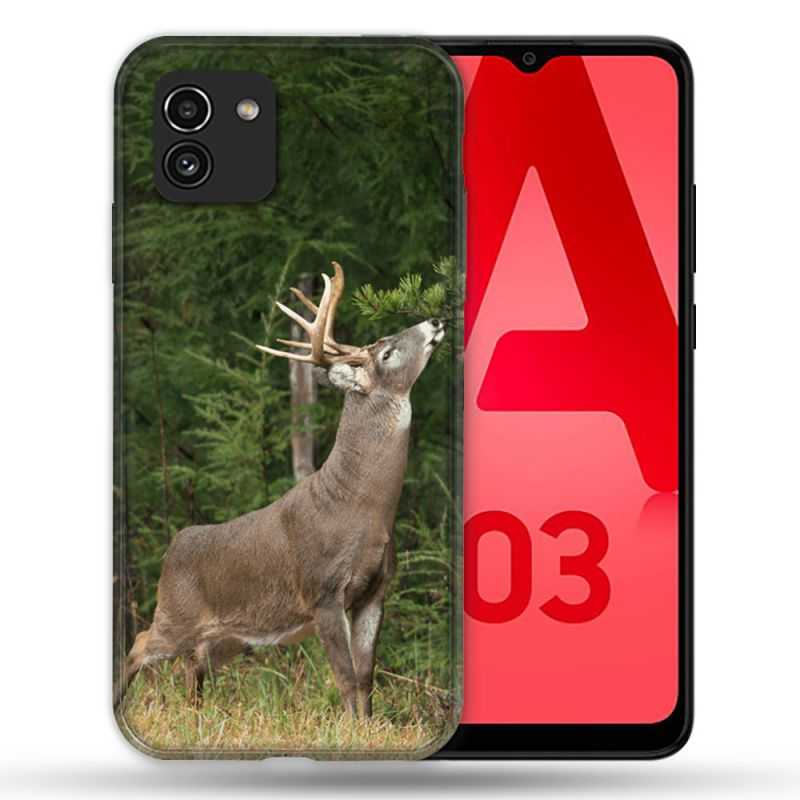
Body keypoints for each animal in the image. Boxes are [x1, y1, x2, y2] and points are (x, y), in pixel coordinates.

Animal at [120, 262, 445, 718]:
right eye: (386, 352)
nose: (435, 320)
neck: (362, 507)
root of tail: (173, 547)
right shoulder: (323, 591)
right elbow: (345, 677)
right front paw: (351, 729)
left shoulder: (376, 591)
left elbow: (366, 677)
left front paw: (369, 726)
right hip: (175, 612)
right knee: (139, 643)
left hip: (226, 637)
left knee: (192, 664)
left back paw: (196, 716)